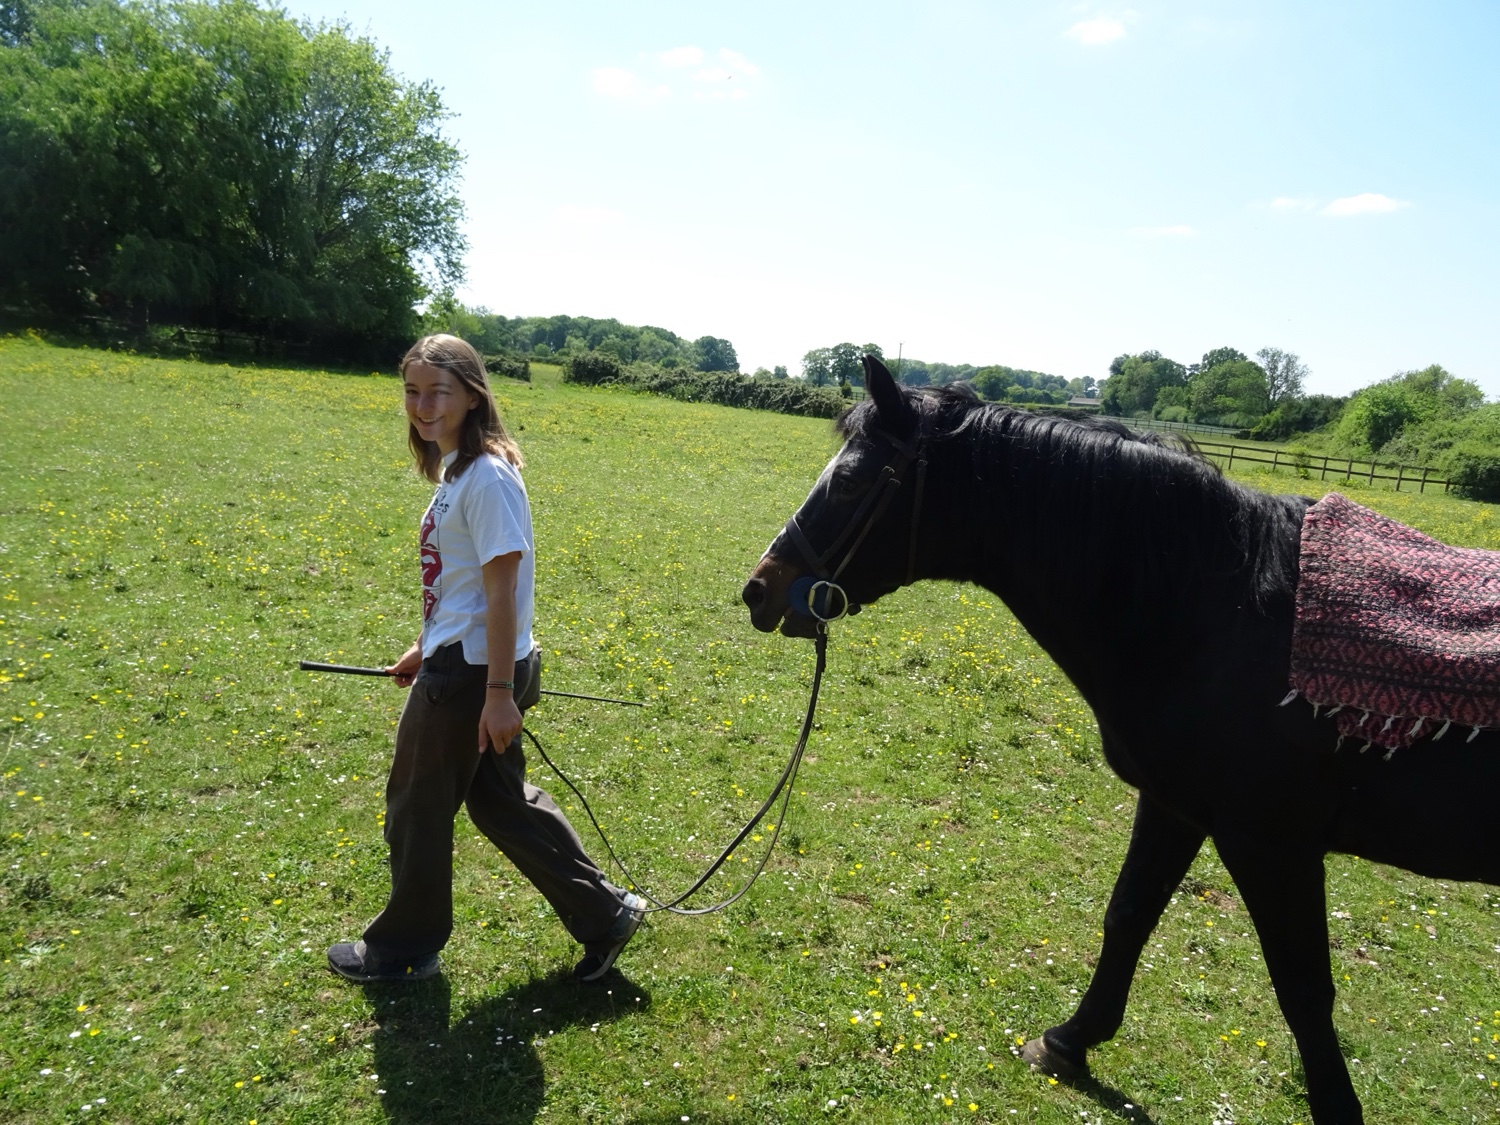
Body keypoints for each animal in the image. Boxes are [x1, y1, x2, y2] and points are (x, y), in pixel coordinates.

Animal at [741, 355, 1500, 1125]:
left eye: (849, 480)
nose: (759, 590)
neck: (1221, 615)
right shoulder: (1176, 806)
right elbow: (1128, 914)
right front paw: (1071, 1039)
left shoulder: (1273, 843)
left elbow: (1305, 991)